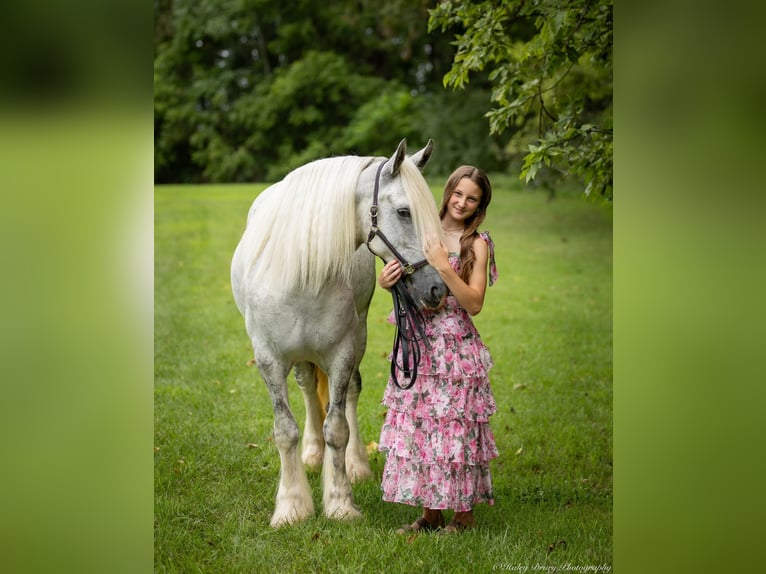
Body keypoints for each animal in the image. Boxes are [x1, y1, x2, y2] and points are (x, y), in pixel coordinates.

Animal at [231, 142, 448, 528]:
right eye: (404, 212)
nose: (437, 289)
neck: (303, 273)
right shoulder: (269, 359)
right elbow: (284, 430)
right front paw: (291, 506)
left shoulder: (343, 354)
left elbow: (337, 428)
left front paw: (340, 502)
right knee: (306, 388)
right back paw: (311, 455)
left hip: (355, 344)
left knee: (349, 396)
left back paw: (355, 464)